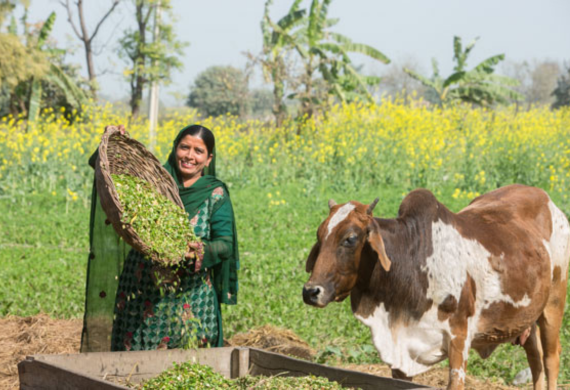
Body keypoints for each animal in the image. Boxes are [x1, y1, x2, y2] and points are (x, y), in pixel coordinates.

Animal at [300, 184, 564, 390]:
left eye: (350, 239)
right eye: (320, 235)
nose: (311, 291)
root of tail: (545, 197)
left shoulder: (459, 337)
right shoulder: (400, 353)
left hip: (553, 305)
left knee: (551, 360)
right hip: (527, 317)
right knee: (535, 359)